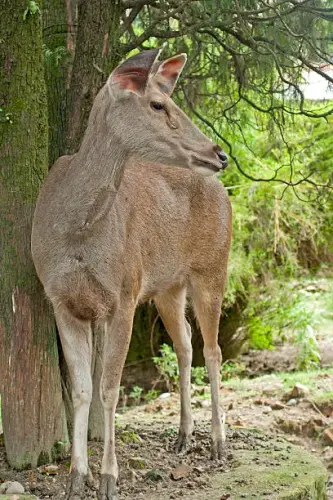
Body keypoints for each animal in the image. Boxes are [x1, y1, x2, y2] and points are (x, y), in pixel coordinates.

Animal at [32, 49, 232, 500]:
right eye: (157, 105)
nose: (220, 154)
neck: (75, 232)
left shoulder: (122, 294)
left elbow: (109, 390)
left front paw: (109, 477)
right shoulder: (61, 299)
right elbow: (82, 389)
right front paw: (76, 477)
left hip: (212, 266)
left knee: (213, 350)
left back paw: (218, 443)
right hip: (167, 285)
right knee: (185, 342)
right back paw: (183, 436)